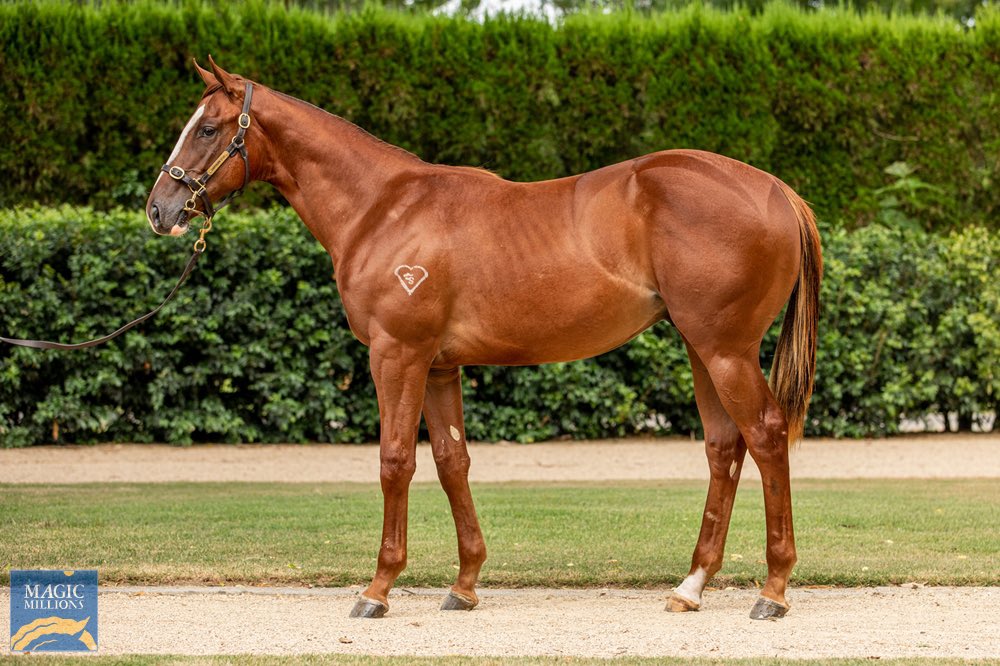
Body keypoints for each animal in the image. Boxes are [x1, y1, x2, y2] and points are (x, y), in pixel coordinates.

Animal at [146, 57, 822, 621]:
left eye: (208, 129)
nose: (160, 208)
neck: (382, 207)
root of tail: (776, 190)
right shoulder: (439, 366)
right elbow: (452, 463)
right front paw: (465, 585)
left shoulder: (397, 356)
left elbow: (396, 461)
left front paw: (378, 589)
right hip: (701, 349)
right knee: (724, 447)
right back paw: (690, 587)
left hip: (725, 351)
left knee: (765, 436)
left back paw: (773, 591)